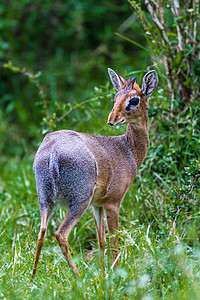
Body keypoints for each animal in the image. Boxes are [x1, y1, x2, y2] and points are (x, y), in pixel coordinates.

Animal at [32, 68, 158, 278]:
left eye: (134, 100)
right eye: (115, 98)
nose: (111, 120)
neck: (127, 150)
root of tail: (53, 153)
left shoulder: (97, 204)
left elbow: (102, 241)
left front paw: (102, 273)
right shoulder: (113, 202)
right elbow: (114, 240)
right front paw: (116, 273)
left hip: (45, 198)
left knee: (41, 231)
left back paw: (33, 278)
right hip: (78, 200)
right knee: (60, 234)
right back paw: (78, 277)